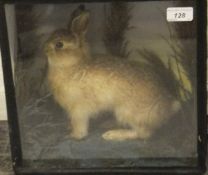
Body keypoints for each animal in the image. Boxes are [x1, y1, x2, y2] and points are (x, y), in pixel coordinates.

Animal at [44, 6, 180, 142]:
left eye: (59, 44)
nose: (44, 50)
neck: (72, 65)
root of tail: (167, 108)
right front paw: (69, 128)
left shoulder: (78, 109)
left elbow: (80, 126)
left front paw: (73, 135)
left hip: (126, 111)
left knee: (142, 133)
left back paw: (112, 134)